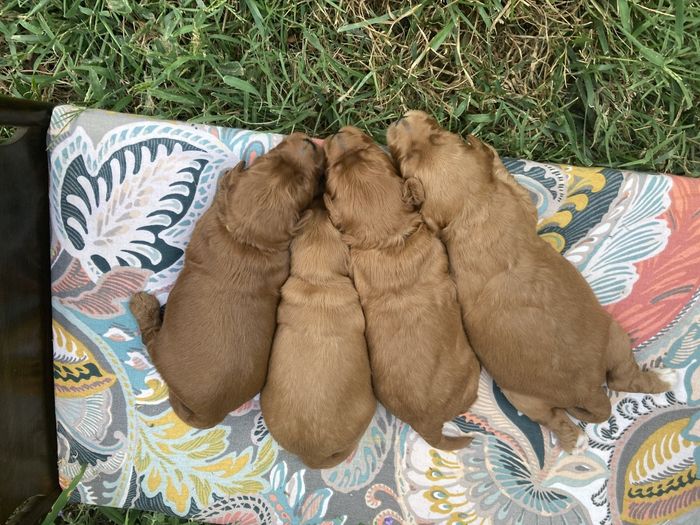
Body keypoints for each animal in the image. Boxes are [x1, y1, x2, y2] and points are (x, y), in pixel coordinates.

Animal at [131, 133, 322, 428]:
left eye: (306, 181)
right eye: (273, 156)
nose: (309, 143)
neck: (246, 239)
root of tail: (208, 414)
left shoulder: (208, 223)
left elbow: (221, 196)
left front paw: (226, 177)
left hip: (162, 351)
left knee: (150, 340)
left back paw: (143, 306)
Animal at [324, 126, 482, 450]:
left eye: (370, 151)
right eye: (331, 172)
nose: (338, 133)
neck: (389, 240)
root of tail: (429, 424)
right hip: (470, 374)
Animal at [386, 112, 676, 452]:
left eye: (437, 136)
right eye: (406, 161)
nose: (402, 120)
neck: (475, 211)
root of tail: (589, 391)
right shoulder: (515, 201)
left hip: (590, 353)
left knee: (609, 386)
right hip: (560, 373)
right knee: (605, 388)